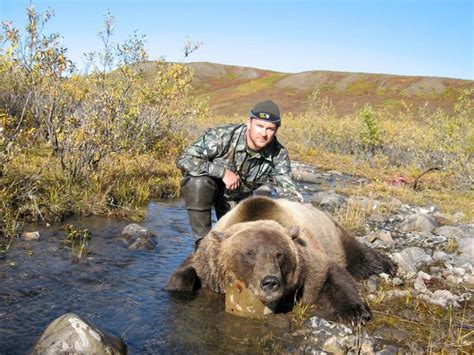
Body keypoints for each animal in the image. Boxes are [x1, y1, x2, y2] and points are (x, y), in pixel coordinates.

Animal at [167, 197, 396, 326]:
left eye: (279, 254)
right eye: (249, 254)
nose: (270, 282)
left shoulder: (307, 262)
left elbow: (330, 275)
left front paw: (356, 312)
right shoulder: (208, 260)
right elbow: (188, 271)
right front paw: (179, 287)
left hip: (334, 235)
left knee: (358, 255)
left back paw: (389, 265)